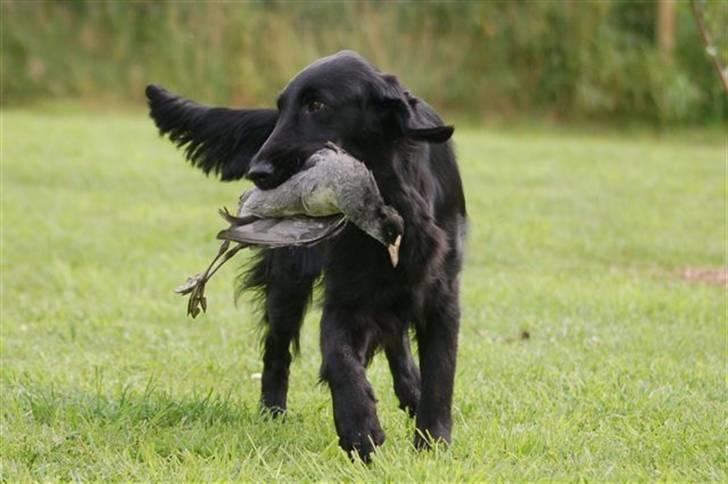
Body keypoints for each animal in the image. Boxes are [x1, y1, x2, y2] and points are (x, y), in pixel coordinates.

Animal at [147, 50, 466, 462]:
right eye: (281, 108)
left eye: (317, 105)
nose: (257, 171)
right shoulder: (345, 296)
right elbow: (339, 358)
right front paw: (360, 429)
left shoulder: (441, 296)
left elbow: (440, 373)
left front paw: (432, 442)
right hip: (288, 281)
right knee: (276, 350)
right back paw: (272, 411)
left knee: (396, 339)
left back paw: (410, 390)